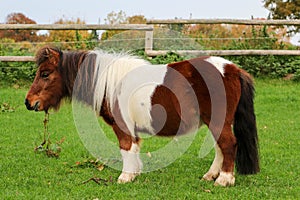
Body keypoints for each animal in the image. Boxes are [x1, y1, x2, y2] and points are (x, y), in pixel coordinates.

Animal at [24, 46, 258, 187]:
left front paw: (125, 177)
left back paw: (224, 180)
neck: (109, 83)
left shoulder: (122, 126)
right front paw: (134, 173)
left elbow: (126, 147)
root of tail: (233, 69)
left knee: (228, 144)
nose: (28, 102)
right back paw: (211, 175)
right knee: (220, 147)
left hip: (218, 121)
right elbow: (134, 148)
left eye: (45, 74)